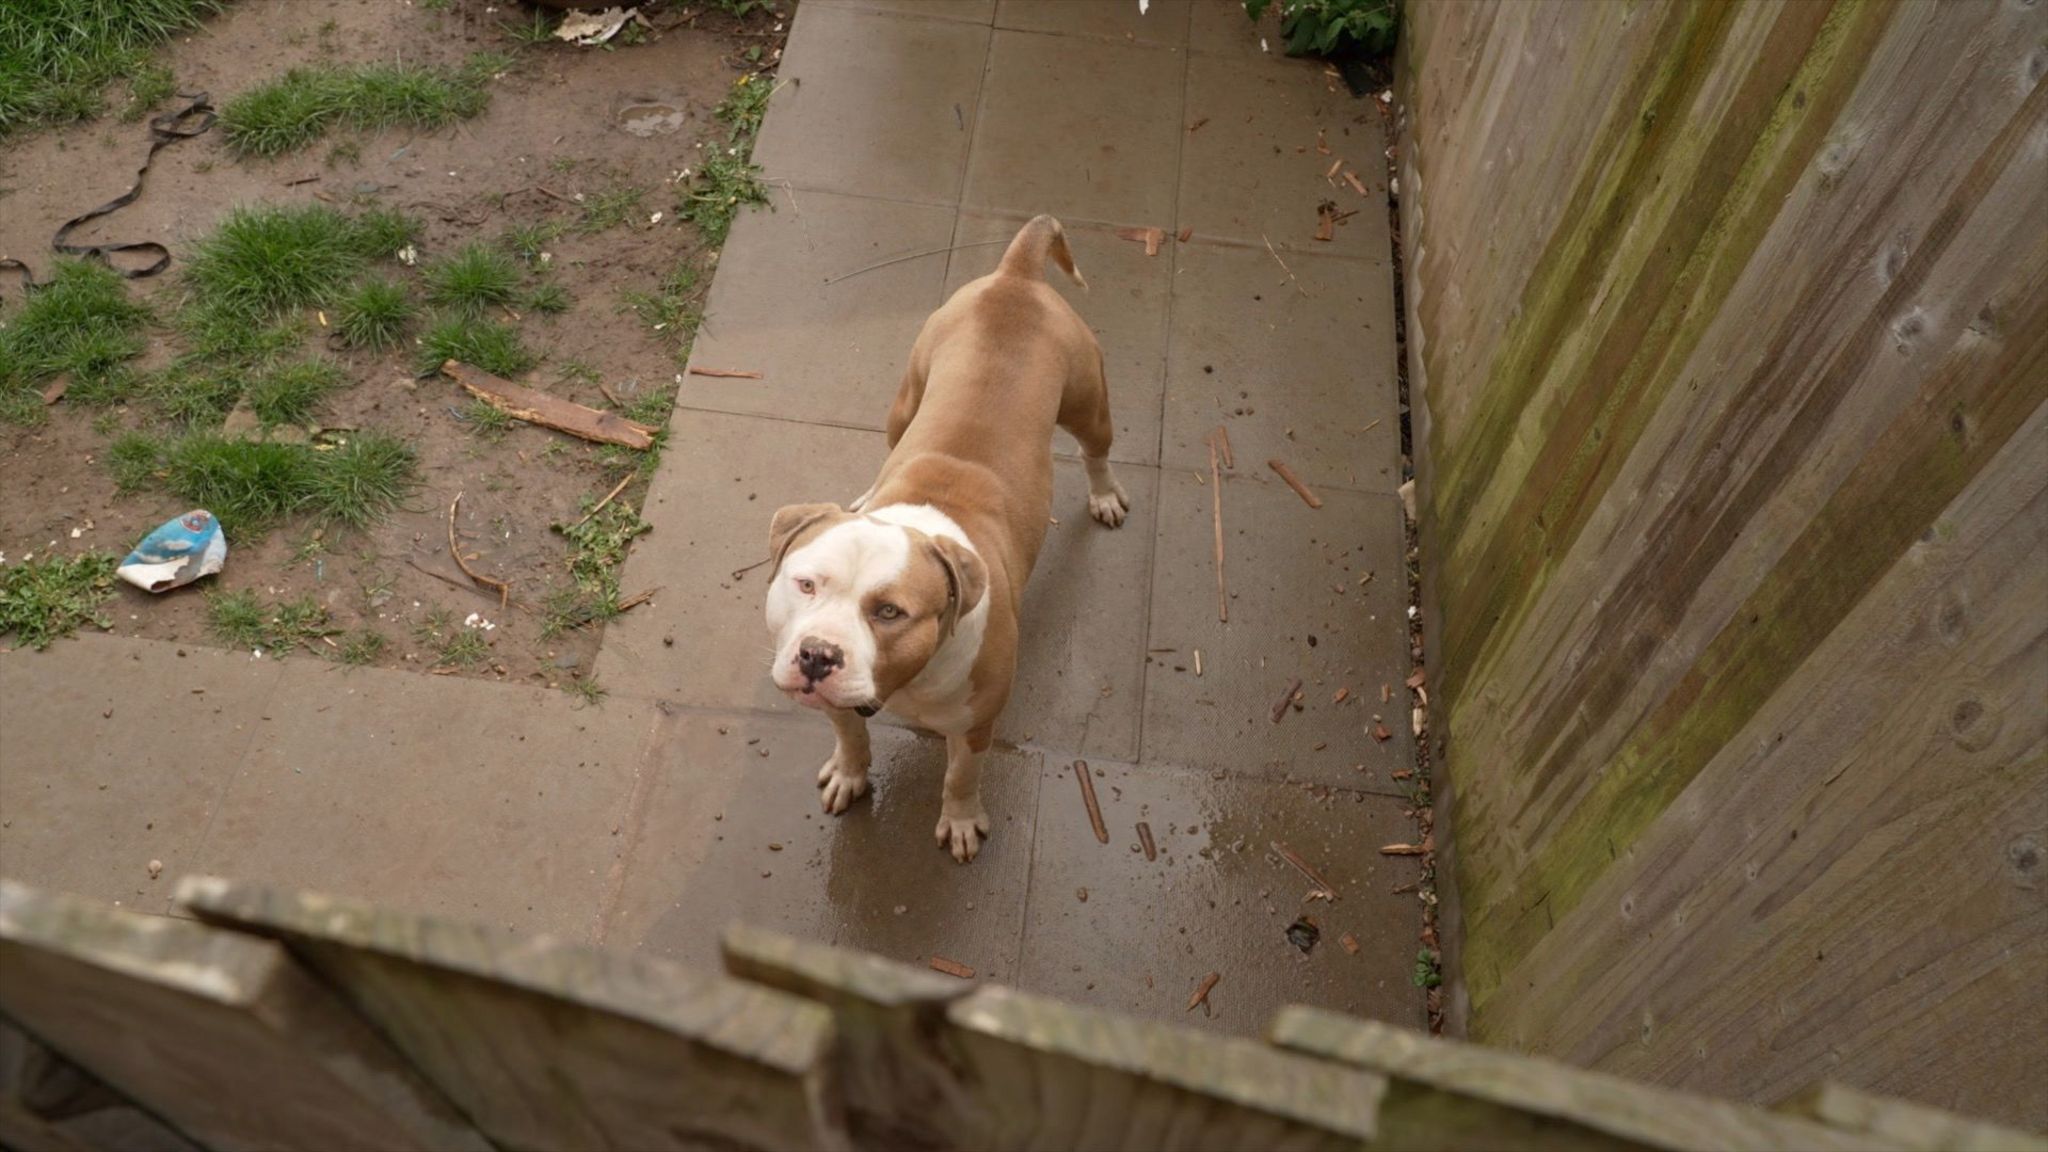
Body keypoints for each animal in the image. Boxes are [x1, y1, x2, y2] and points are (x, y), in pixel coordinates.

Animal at [765, 217, 1130, 860]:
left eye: (890, 611)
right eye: (804, 584)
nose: (817, 654)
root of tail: (1016, 276)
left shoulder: (977, 724)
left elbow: (961, 774)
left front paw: (960, 822)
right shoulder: (840, 703)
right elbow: (851, 736)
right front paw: (850, 774)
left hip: (1090, 403)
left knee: (1096, 451)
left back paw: (1105, 494)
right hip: (906, 398)